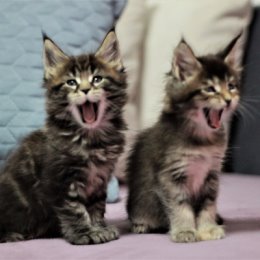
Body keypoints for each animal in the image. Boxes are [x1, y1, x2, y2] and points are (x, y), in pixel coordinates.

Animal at [0, 30, 127, 244]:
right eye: (71, 82)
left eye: (97, 79)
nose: (85, 89)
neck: (91, 139)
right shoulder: (60, 181)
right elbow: (75, 210)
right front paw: (84, 233)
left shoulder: (100, 179)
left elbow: (96, 207)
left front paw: (99, 228)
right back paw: (12, 234)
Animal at [127, 34, 243, 242]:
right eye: (210, 89)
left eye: (231, 86)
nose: (229, 100)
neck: (203, 141)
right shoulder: (171, 174)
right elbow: (180, 205)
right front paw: (185, 231)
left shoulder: (212, 173)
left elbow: (208, 204)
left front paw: (207, 228)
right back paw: (141, 225)